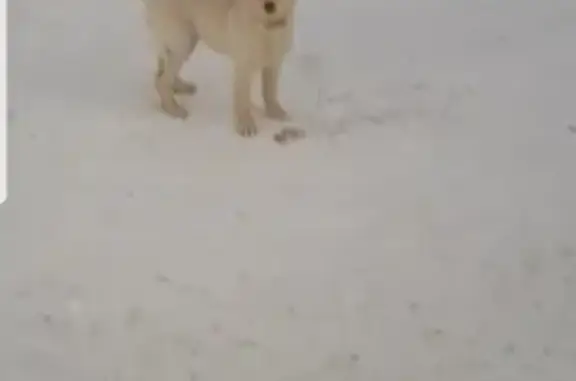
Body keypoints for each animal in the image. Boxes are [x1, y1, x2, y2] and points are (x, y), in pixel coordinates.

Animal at [142, 0, 296, 137]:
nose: (269, 6)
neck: (266, 23)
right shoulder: (243, 66)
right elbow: (243, 100)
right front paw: (246, 126)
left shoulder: (274, 62)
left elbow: (270, 92)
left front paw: (276, 113)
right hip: (181, 42)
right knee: (161, 80)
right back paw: (174, 110)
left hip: (187, 40)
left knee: (162, 69)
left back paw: (179, 87)